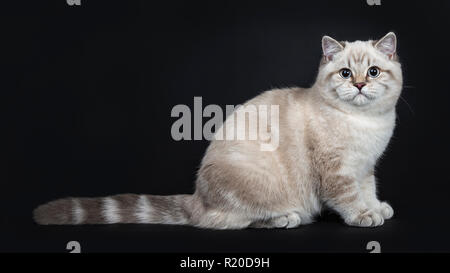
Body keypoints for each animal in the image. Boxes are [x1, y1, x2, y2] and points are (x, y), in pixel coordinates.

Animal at [33, 32, 402, 227]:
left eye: (372, 71)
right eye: (344, 73)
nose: (358, 84)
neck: (366, 123)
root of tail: (197, 198)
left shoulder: (365, 167)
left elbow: (368, 190)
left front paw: (377, 208)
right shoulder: (336, 172)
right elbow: (348, 199)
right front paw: (364, 216)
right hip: (262, 187)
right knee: (232, 221)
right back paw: (287, 218)